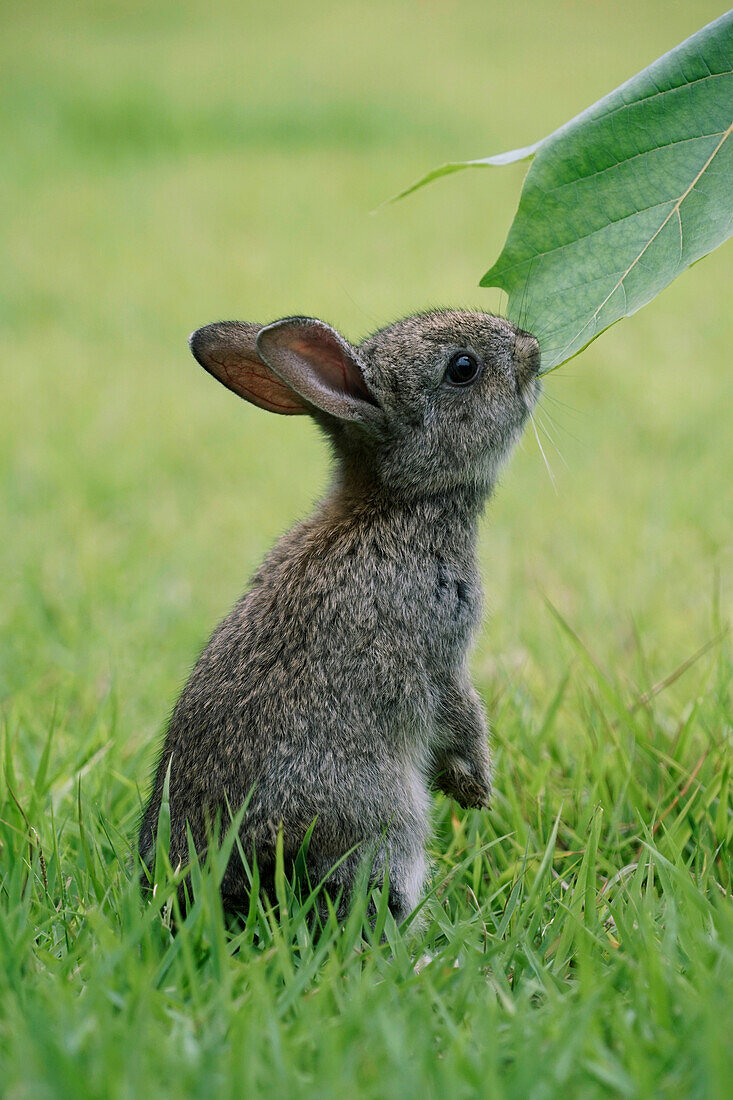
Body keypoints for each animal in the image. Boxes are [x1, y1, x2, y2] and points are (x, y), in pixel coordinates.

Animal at [138, 310, 537, 919]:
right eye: (462, 368)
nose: (532, 350)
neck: (397, 503)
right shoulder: (439, 650)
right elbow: (461, 712)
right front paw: (475, 787)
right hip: (382, 834)